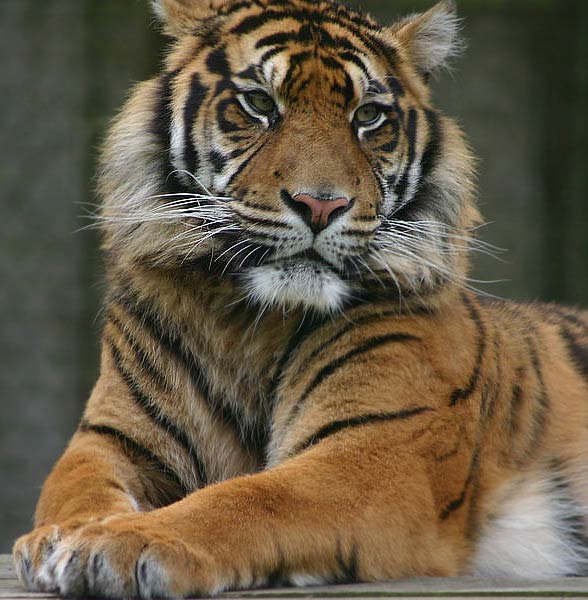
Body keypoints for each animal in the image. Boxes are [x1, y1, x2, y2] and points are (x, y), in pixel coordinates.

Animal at [11, 0, 588, 596]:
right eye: (261, 103)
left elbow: (247, 498)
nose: (320, 205)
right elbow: (72, 488)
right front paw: (60, 538)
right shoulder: (109, 438)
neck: (248, 320)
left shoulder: (377, 452)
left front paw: (121, 541)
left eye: (368, 116)